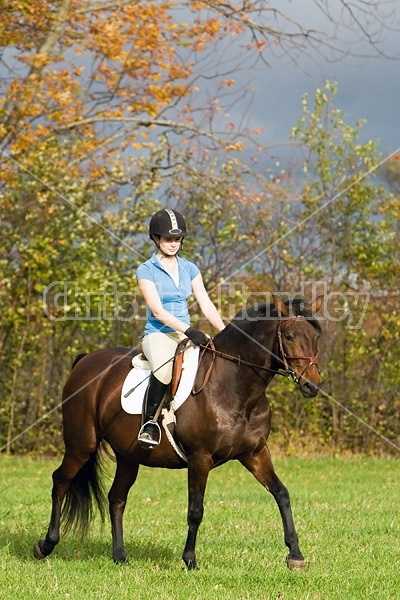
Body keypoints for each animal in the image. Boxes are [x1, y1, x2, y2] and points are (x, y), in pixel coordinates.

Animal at [33, 298, 322, 568]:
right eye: (289, 336)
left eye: (316, 337)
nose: (312, 386)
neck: (234, 386)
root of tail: (86, 360)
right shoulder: (200, 458)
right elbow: (195, 510)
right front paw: (190, 559)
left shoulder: (255, 453)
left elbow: (282, 494)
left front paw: (295, 555)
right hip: (82, 444)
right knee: (61, 481)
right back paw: (46, 545)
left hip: (128, 455)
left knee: (116, 498)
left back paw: (120, 556)